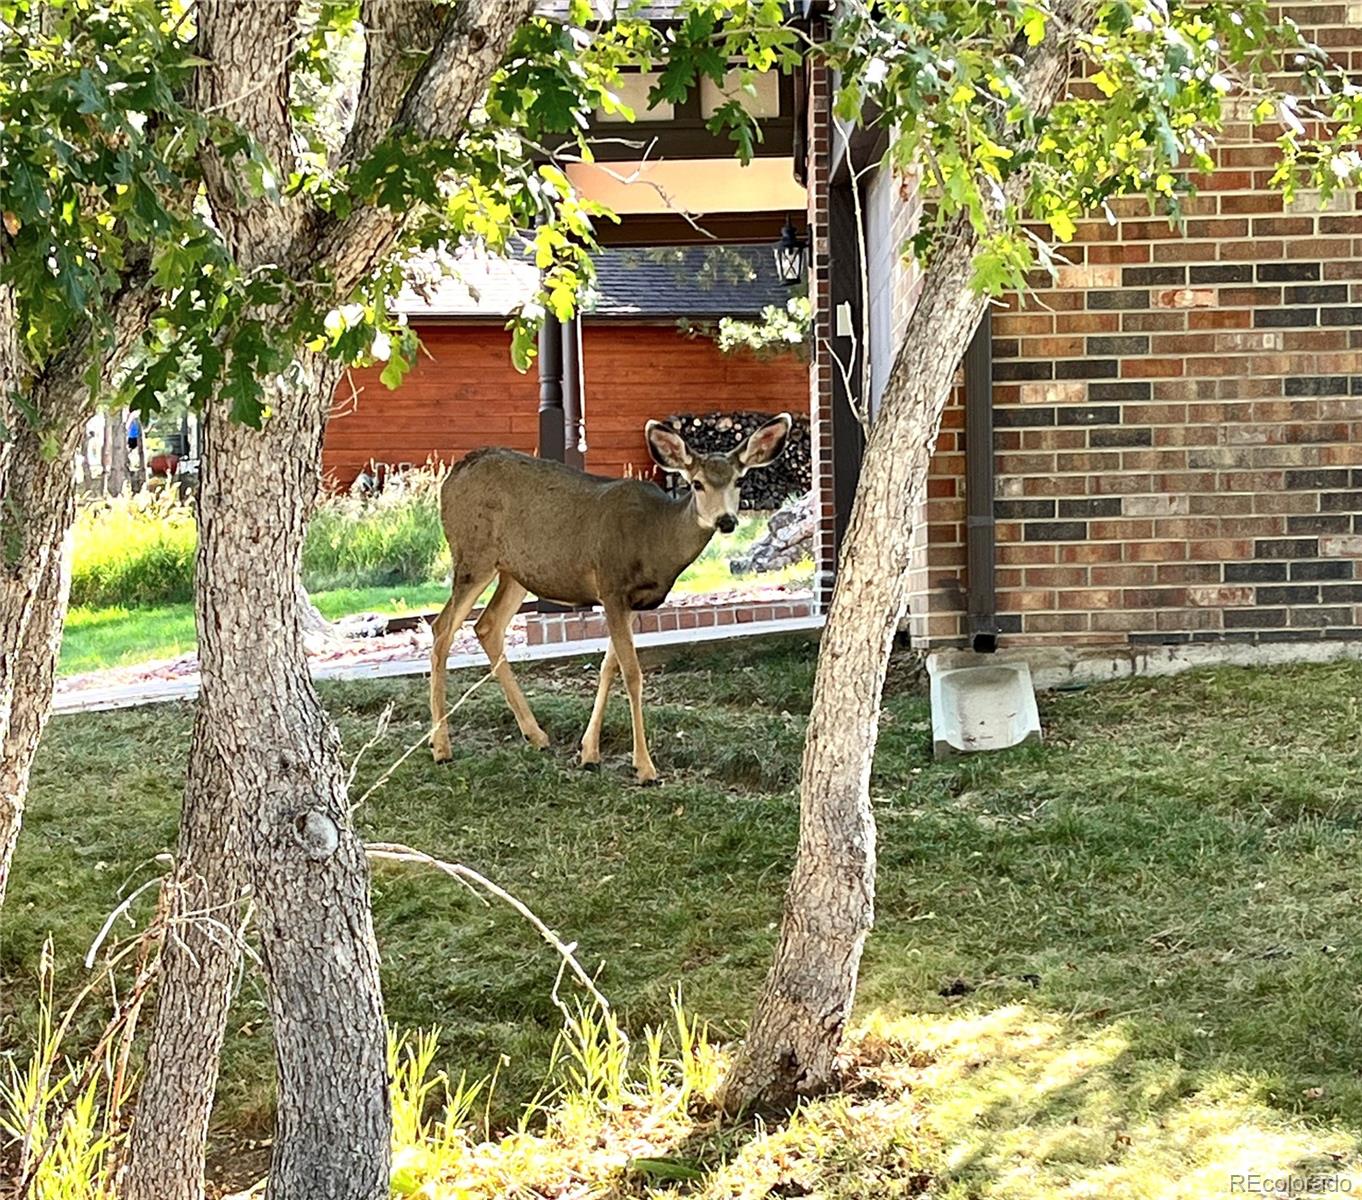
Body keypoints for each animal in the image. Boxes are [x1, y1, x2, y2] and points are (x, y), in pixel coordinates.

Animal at [424, 416, 789, 784]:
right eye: (697, 484)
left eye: (739, 480)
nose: (726, 521)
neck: (655, 538)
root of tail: (452, 476)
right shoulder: (611, 586)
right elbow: (632, 673)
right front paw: (644, 767)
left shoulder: (631, 604)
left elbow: (608, 666)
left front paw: (589, 752)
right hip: (473, 554)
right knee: (443, 628)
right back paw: (441, 746)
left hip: (515, 571)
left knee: (487, 625)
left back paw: (535, 734)